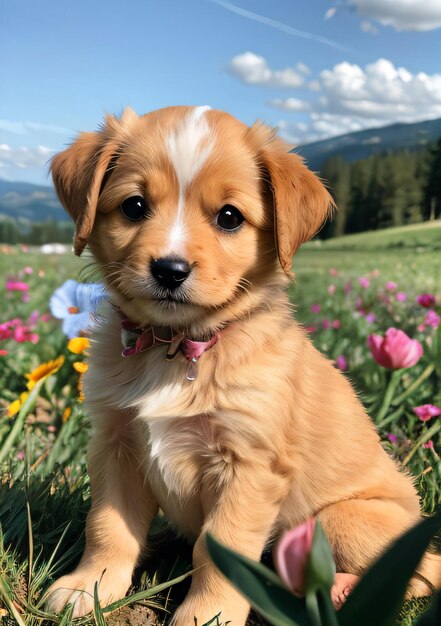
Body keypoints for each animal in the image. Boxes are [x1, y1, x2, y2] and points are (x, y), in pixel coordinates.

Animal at [45, 106, 440, 620]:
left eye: (229, 217)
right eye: (134, 206)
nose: (169, 270)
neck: (177, 348)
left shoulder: (250, 467)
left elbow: (219, 549)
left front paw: (207, 615)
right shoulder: (115, 444)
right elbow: (107, 526)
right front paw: (90, 586)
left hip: (339, 520)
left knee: (422, 575)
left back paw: (336, 592)